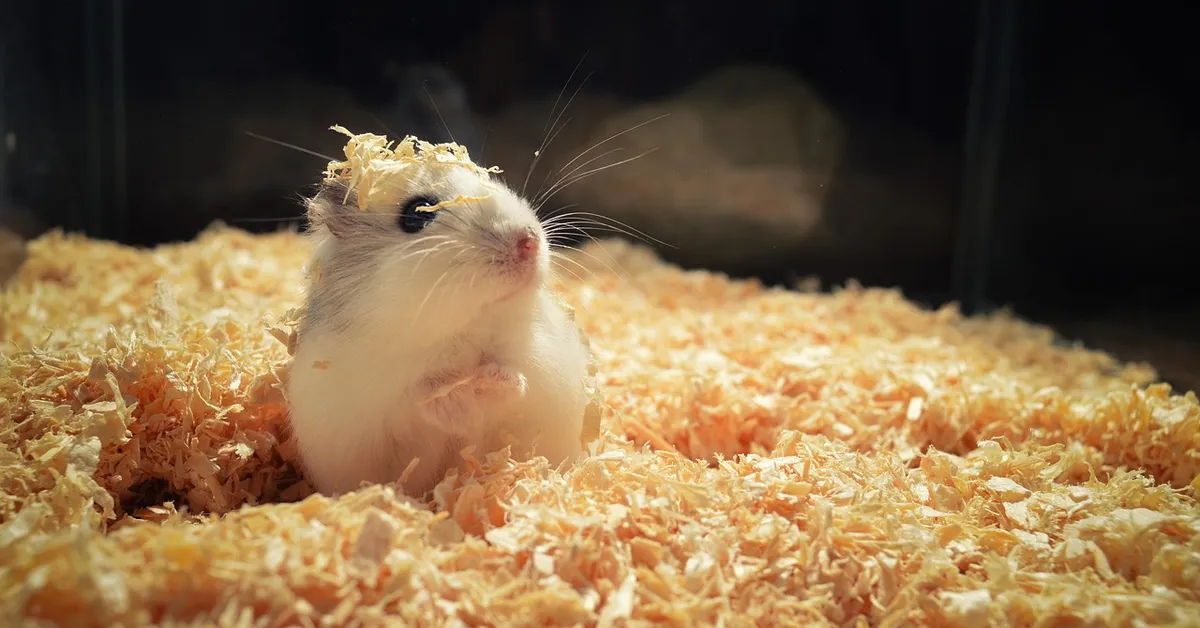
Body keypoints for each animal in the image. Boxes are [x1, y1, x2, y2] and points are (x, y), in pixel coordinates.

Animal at [285, 129, 592, 497]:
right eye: (417, 214)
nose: (529, 242)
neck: (461, 331)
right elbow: (422, 400)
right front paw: (457, 396)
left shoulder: (541, 363)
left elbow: (514, 380)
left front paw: (495, 381)